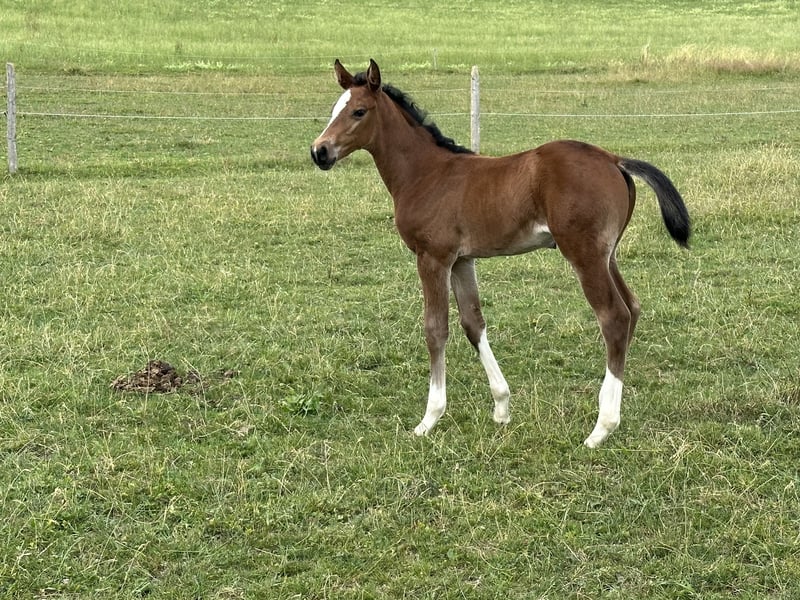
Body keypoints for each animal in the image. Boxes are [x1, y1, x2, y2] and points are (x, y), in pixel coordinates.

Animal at [310, 58, 692, 448]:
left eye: (359, 111)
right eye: (334, 109)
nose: (319, 152)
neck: (425, 173)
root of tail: (615, 159)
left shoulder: (433, 258)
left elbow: (435, 328)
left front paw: (429, 419)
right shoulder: (462, 260)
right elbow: (472, 323)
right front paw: (502, 407)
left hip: (584, 254)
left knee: (613, 316)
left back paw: (602, 428)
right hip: (606, 254)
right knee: (632, 307)